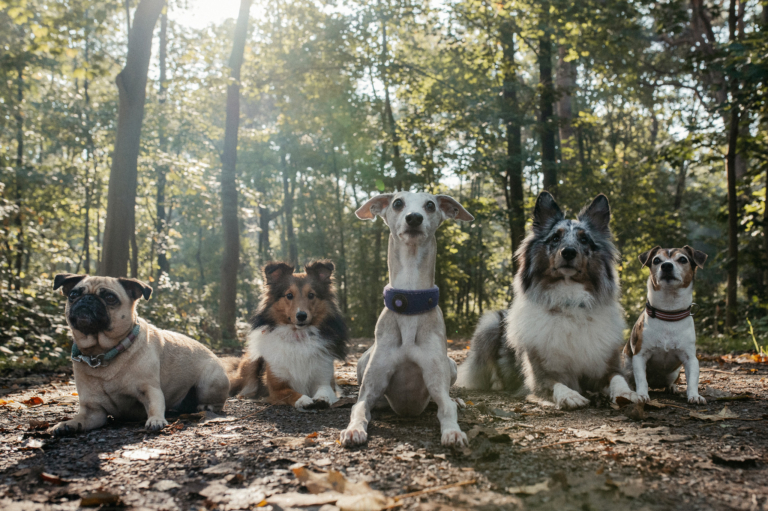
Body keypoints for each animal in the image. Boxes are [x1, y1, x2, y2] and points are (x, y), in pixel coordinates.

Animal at [225, 262, 348, 410]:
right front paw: (304, 400)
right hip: (251, 363)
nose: (301, 316)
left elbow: (324, 390)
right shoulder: (276, 387)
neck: (298, 336)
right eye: (289, 295)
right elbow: (291, 393)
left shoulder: (325, 379)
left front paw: (321, 399)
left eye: (311, 295)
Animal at [456, 194, 640, 410]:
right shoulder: (540, 375)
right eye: (555, 238)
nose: (568, 252)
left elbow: (618, 379)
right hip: (490, 323)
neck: (569, 301)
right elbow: (555, 384)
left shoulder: (607, 366)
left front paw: (628, 393)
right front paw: (570, 395)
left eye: (584, 239)